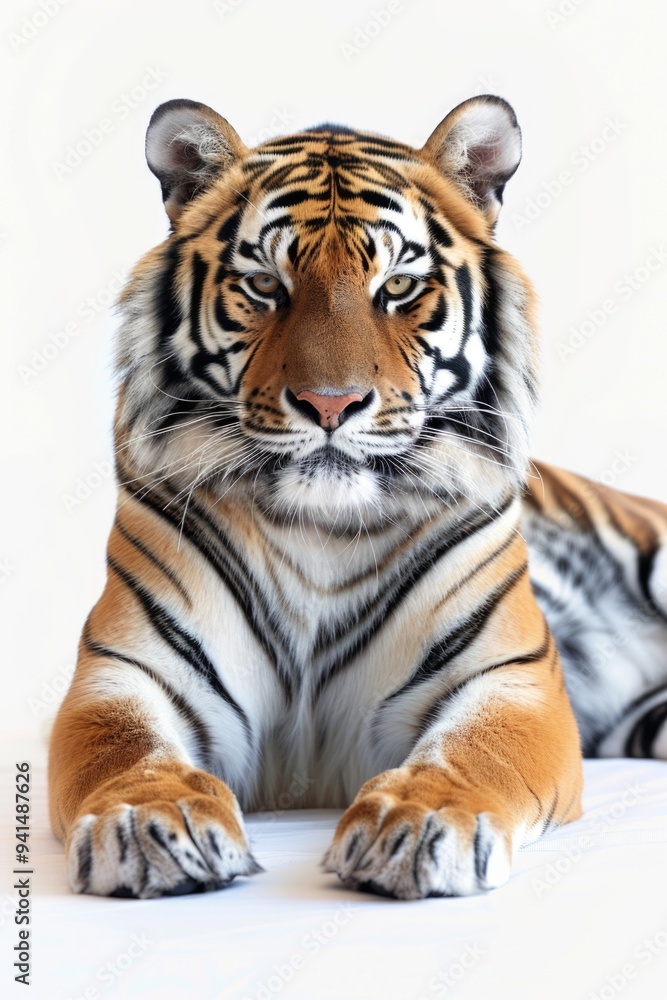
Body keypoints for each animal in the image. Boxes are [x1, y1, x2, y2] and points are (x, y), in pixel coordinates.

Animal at [48, 95, 667, 901]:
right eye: (265, 286)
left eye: (397, 288)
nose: (330, 404)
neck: (322, 529)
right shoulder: (124, 670)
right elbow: (125, 750)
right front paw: (150, 823)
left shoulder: (510, 676)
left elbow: (475, 751)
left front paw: (417, 825)